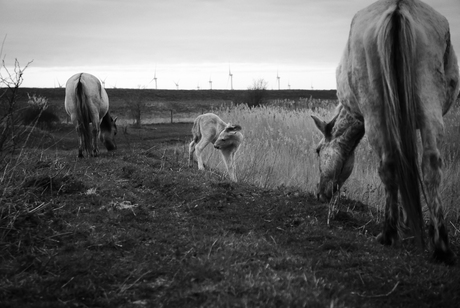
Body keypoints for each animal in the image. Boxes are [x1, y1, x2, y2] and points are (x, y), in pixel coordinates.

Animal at [310, 0, 458, 264]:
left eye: (318, 151)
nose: (320, 193)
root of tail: (399, 9)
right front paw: (413, 222)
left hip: (375, 113)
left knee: (388, 166)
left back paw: (388, 234)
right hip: (429, 106)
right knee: (430, 166)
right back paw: (441, 246)